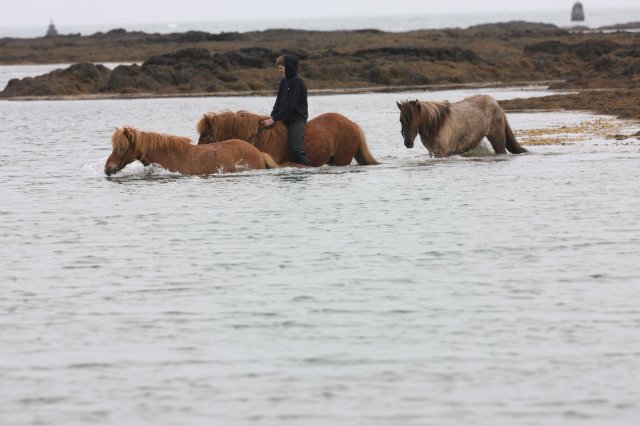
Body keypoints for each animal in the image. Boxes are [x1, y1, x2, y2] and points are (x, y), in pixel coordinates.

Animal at [398, 94, 528, 157]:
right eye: (401, 120)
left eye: (415, 119)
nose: (408, 143)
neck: (436, 126)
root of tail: (496, 104)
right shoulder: (433, 153)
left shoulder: (442, 153)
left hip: (498, 141)